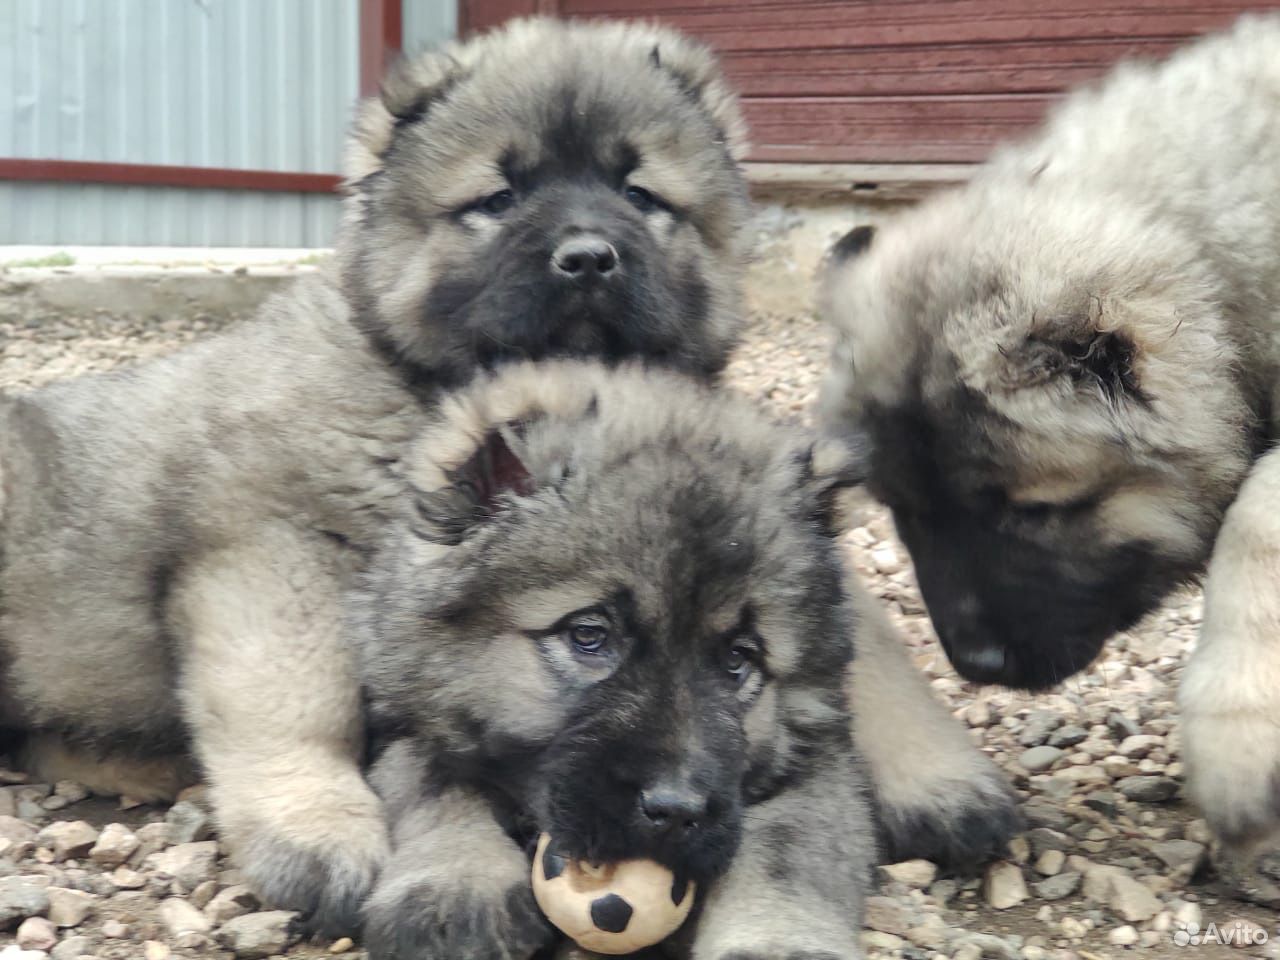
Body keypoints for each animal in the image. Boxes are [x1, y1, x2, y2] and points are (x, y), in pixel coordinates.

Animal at [348, 363, 870, 960]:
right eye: (590, 635)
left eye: (739, 660)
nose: (676, 810)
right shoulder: (407, 719)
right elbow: (437, 781)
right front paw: (456, 883)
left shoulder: (819, 756)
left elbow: (791, 843)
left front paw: (777, 941)